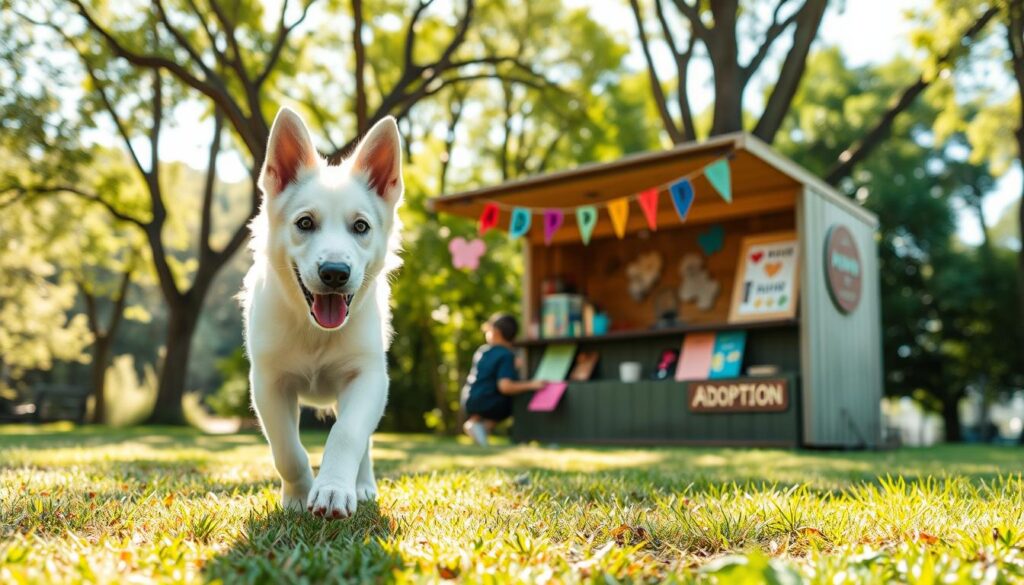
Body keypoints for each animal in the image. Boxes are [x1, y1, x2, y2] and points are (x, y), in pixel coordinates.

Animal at [239, 107, 399, 520]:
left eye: (361, 226)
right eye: (305, 223)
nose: (335, 273)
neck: (315, 332)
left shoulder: (368, 377)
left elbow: (348, 434)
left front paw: (333, 490)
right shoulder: (268, 382)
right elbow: (287, 450)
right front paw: (298, 496)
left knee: (363, 441)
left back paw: (361, 486)